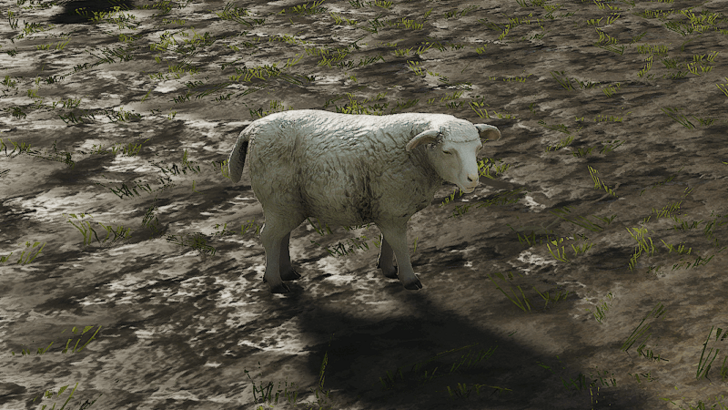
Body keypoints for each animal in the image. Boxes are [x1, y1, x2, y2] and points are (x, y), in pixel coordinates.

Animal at [228, 109, 501, 293]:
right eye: (446, 151)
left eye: (478, 148)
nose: (473, 180)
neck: (419, 157)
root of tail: (252, 129)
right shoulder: (393, 208)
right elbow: (400, 244)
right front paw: (410, 280)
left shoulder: (390, 210)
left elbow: (389, 242)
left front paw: (388, 270)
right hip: (277, 198)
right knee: (269, 236)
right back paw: (275, 282)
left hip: (286, 203)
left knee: (281, 236)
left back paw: (287, 272)